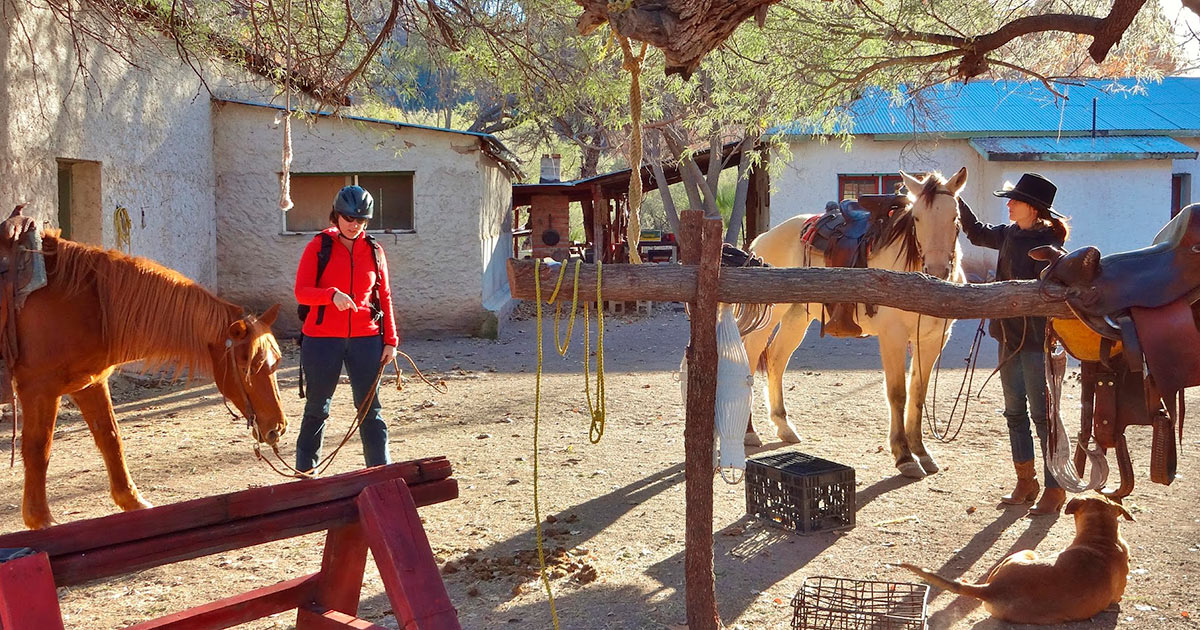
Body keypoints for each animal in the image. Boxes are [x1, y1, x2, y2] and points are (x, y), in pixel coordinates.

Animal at [12, 229, 288, 525]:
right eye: (248, 364)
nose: (278, 427)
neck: (84, 302)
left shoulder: (89, 383)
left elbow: (110, 438)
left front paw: (133, 502)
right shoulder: (40, 389)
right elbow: (38, 449)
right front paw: (40, 519)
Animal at [739, 166, 964, 477]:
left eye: (954, 217)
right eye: (917, 218)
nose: (937, 270)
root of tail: (762, 239)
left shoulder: (932, 340)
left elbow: (918, 393)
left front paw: (922, 452)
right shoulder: (893, 336)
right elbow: (898, 394)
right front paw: (904, 456)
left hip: (797, 317)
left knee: (775, 360)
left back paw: (784, 426)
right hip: (769, 316)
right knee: (749, 360)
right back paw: (749, 432)